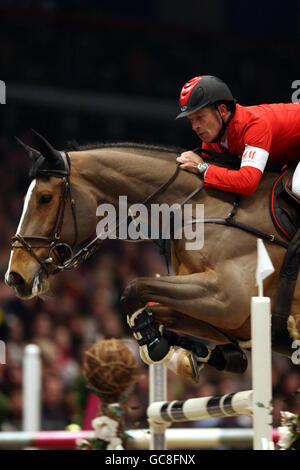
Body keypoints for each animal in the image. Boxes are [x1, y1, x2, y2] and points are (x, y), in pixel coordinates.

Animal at [5, 131, 300, 382]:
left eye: (45, 198)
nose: (15, 277)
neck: (203, 206)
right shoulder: (228, 320)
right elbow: (153, 311)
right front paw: (193, 356)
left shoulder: (226, 298)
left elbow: (134, 288)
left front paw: (157, 346)